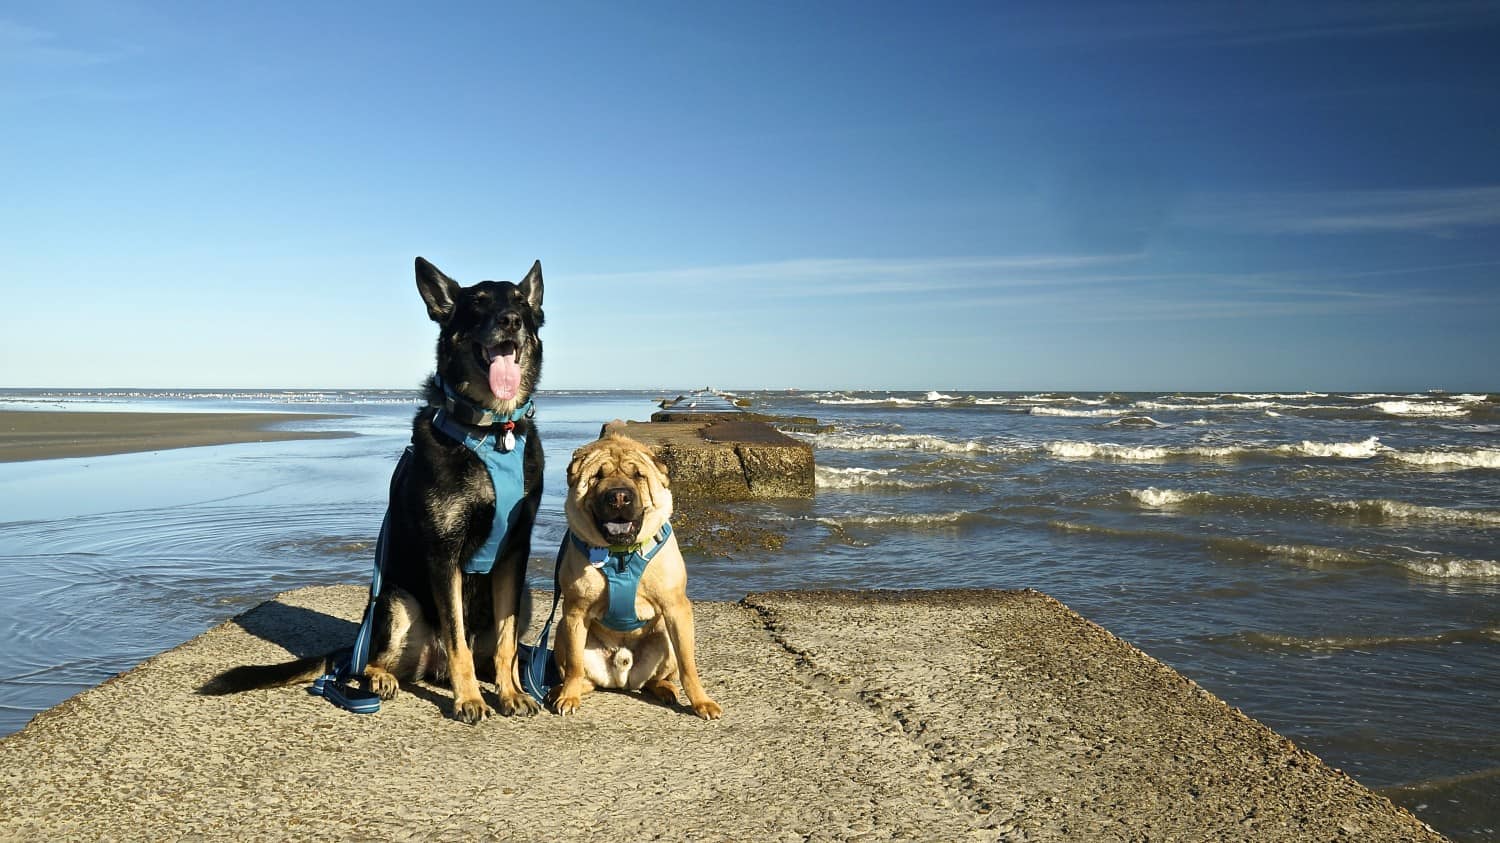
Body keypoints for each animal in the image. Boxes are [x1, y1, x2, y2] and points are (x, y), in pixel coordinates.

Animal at [202, 258, 546, 723]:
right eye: (477, 303)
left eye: (519, 301)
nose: (511, 320)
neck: (492, 431)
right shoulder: (443, 556)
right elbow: (456, 637)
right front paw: (470, 699)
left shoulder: (514, 555)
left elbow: (507, 641)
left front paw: (511, 692)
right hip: (395, 602)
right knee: (369, 662)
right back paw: (385, 678)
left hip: (520, 598)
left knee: (489, 651)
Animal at [555, 432, 723, 714]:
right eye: (597, 476)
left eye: (638, 475)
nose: (619, 497)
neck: (620, 554)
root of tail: (623, 677)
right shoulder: (575, 611)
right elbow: (575, 664)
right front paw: (568, 696)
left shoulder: (676, 608)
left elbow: (688, 665)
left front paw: (702, 701)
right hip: (560, 630)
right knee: (580, 674)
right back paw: (562, 690)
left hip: (665, 635)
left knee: (656, 678)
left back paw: (666, 690)